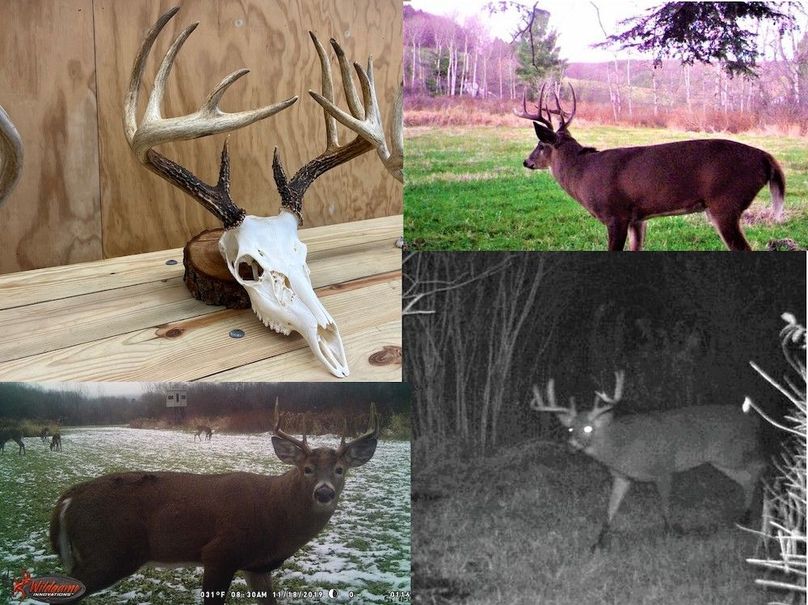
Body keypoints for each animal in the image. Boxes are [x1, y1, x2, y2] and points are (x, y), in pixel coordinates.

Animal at [49, 401, 379, 604]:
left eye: (340, 469)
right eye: (307, 469)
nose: (324, 493)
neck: (274, 516)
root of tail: (68, 498)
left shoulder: (257, 566)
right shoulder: (220, 552)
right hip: (108, 552)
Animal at [516, 84, 786, 251]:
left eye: (540, 144)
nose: (526, 162)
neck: (582, 174)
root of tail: (767, 158)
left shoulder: (615, 214)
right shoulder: (637, 217)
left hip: (725, 202)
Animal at [530, 370, 766, 550]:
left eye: (589, 428)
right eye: (570, 428)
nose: (570, 445)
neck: (621, 448)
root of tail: (752, 420)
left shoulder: (664, 468)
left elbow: (665, 507)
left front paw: (671, 533)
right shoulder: (622, 477)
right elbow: (610, 510)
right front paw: (597, 543)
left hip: (732, 452)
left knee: (757, 467)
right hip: (721, 460)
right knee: (747, 478)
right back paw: (744, 516)